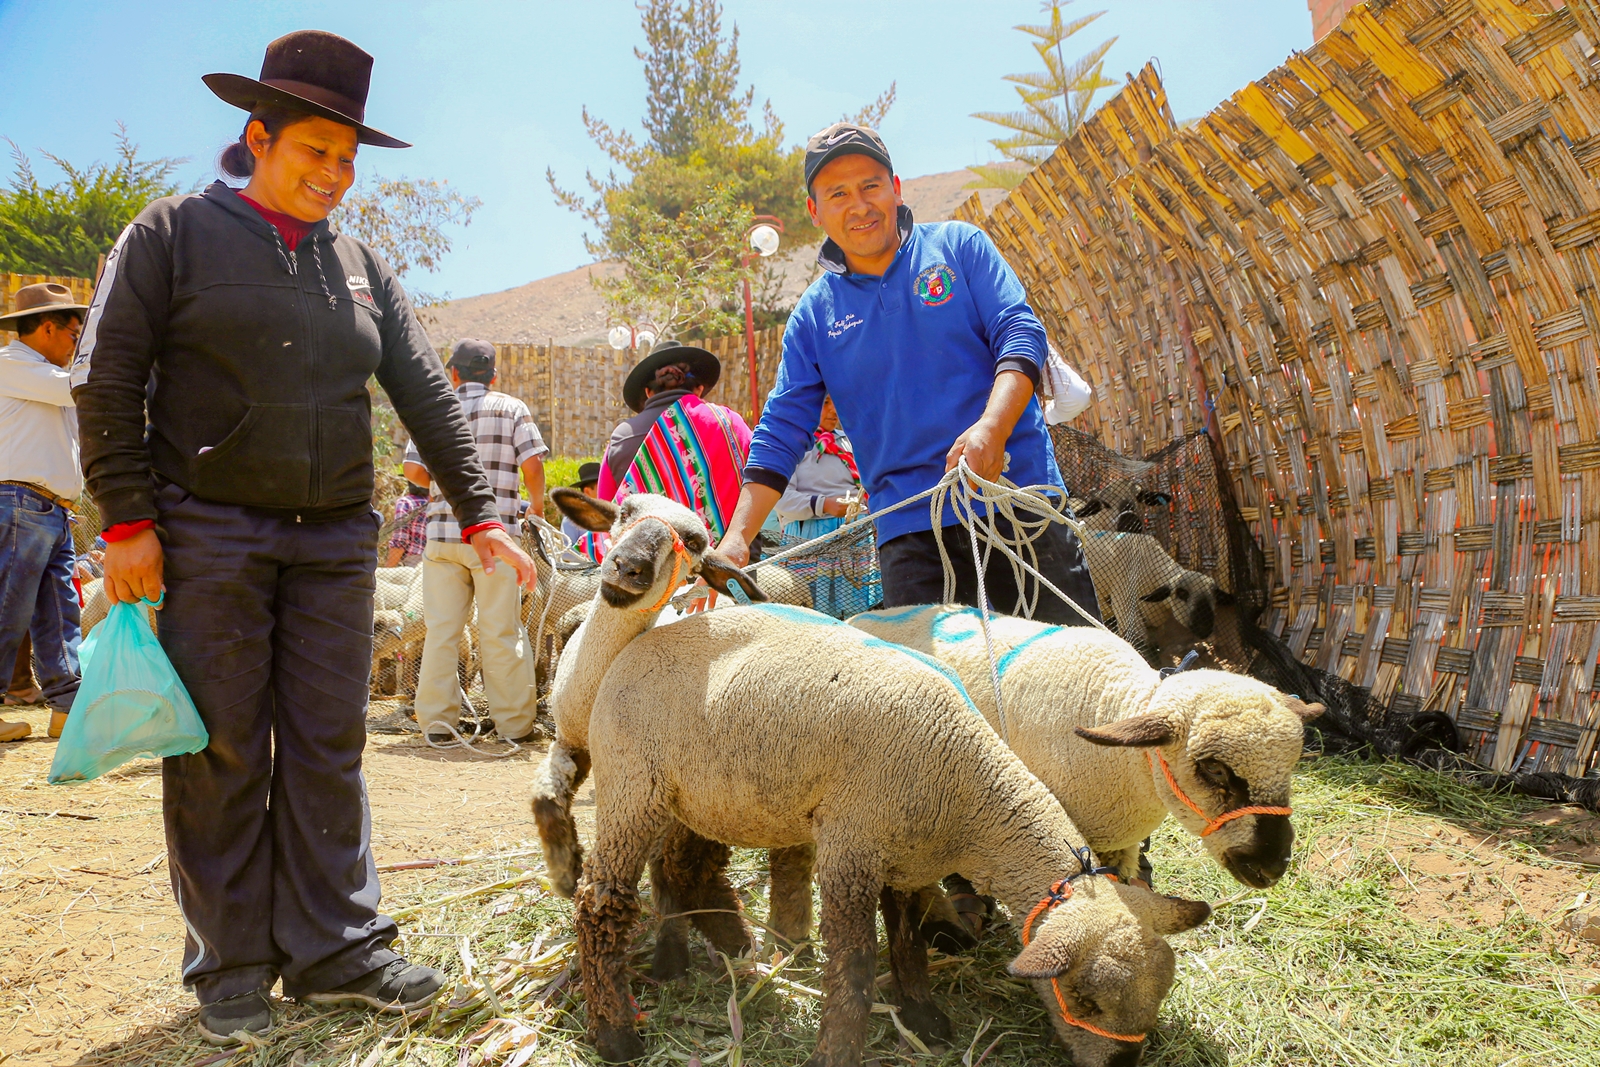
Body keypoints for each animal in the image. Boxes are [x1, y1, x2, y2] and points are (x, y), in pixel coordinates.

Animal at [569, 591, 1203, 1067]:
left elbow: (907, 938)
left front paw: (923, 1017)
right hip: (632, 782)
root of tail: (639, 639)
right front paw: (835, 1052)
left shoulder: (906, 858)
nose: (1123, 1065)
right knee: (600, 900)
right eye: (1086, 1000)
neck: (969, 795)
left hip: (704, 795)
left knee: (681, 867)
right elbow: (853, 967)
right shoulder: (852, 850)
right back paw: (616, 1033)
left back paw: (715, 946)